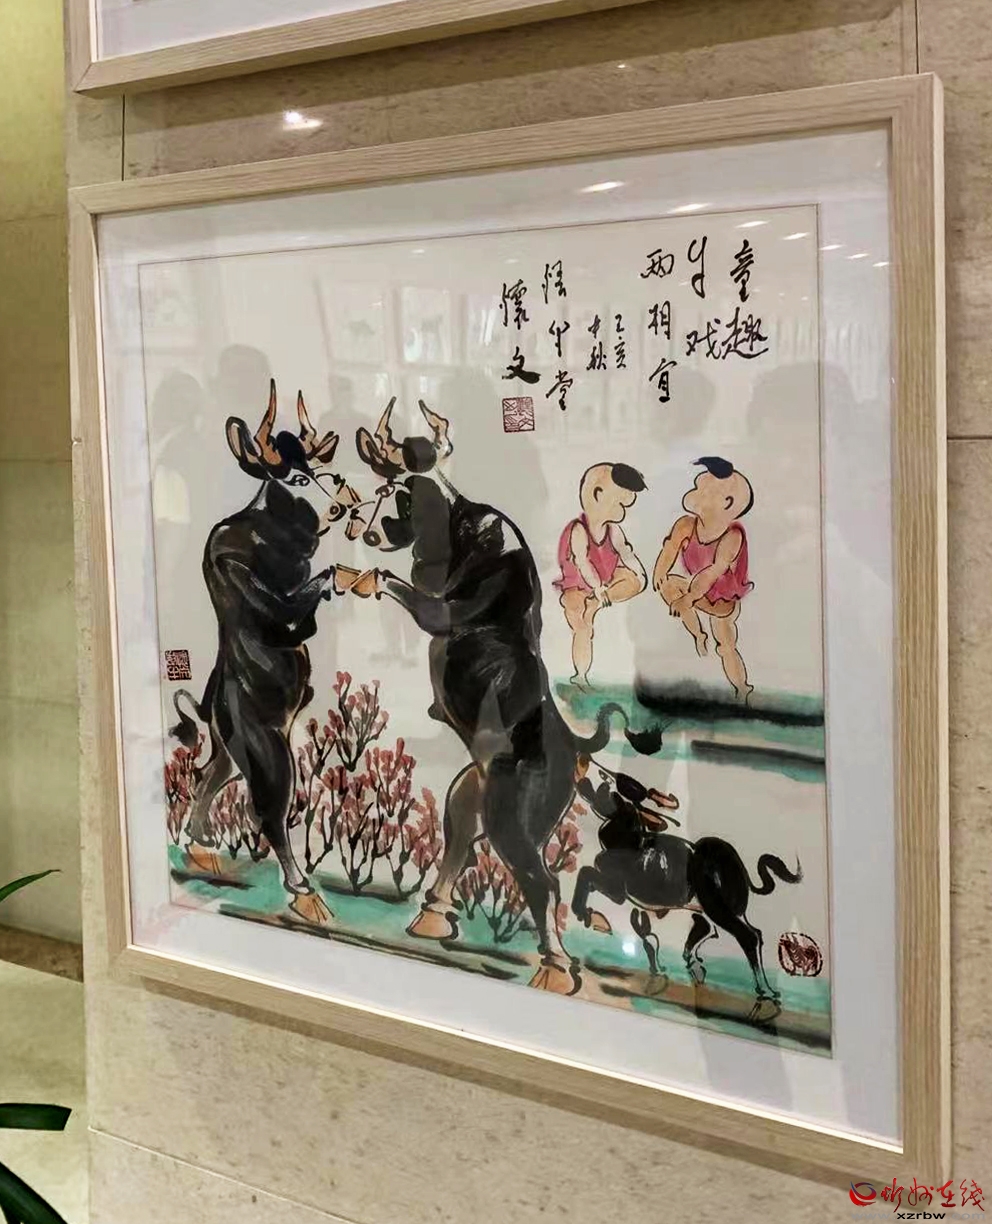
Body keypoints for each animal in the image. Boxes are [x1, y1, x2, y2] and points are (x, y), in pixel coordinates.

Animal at [171, 380, 362, 925]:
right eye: (297, 478)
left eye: (322, 473)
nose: (347, 505)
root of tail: (213, 707)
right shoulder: (268, 595)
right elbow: (302, 599)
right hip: (268, 746)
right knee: (269, 808)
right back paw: (303, 891)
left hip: (231, 746)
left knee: (208, 778)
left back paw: (200, 848)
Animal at [348, 398, 661, 994]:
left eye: (399, 497)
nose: (363, 530)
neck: (463, 532)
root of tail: (574, 747)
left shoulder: (437, 610)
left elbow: (396, 585)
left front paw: (358, 578)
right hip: (469, 797)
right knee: (460, 845)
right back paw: (431, 919)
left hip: (511, 821)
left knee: (541, 883)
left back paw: (557, 970)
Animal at [572, 767, 802, 1008]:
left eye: (606, 786)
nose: (581, 778)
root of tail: (735, 866)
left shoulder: (617, 891)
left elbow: (585, 873)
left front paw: (580, 911)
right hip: (719, 910)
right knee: (736, 932)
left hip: (716, 907)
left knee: (746, 936)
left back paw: (761, 989)